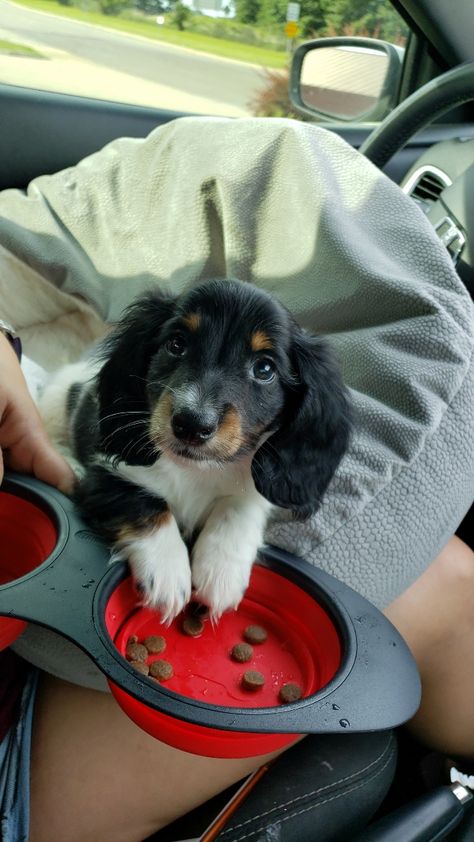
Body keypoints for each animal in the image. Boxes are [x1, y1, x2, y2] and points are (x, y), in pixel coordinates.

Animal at [39, 280, 352, 616]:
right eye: (176, 344)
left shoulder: (254, 490)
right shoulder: (106, 474)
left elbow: (238, 506)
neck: (195, 470)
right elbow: (145, 501)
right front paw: (167, 571)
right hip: (55, 405)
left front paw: (221, 572)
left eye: (264, 369)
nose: (191, 424)